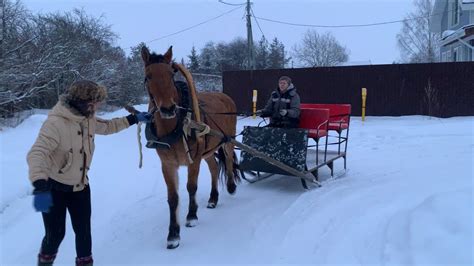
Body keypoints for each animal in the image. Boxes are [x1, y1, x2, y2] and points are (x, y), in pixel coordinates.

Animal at [139, 46, 239, 249]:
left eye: (171, 75)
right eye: (148, 76)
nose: (168, 109)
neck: (176, 126)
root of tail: (223, 95)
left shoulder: (194, 160)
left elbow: (191, 187)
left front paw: (192, 216)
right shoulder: (168, 165)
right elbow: (173, 198)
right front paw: (173, 234)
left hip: (227, 140)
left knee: (229, 159)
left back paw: (231, 186)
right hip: (208, 151)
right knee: (214, 168)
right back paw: (213, 198)